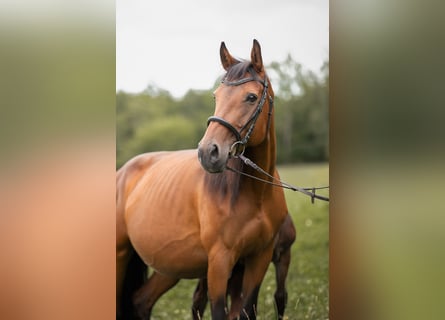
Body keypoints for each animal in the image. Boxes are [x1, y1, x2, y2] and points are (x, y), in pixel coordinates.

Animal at [116, 40, 294, 320]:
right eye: (215, 97)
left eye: (251, 97)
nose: (208, 152)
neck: (255, 196)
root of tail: (122, 172)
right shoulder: (219, 263)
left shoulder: (259, 258)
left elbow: (247, 310)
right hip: (120, 256)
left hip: (170, 266)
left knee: (141, 301)